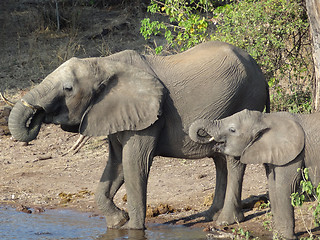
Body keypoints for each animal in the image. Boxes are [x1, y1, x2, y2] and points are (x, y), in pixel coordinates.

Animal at [8, 41, 268, 229]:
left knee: (233, 161)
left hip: (247, 99)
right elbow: (116, 164)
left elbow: (134, 164)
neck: (105, 63)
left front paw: (132, 228)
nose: (36, 115)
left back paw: (225, 221)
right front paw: (118, 222)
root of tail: (260, 70)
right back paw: (210, 215)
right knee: (219, 160)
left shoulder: (150, 117)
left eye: (68, 88)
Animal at [190, 109, 320, 239]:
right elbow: (273, 188)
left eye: (232, 130)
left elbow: (284, 187)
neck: (266, 118)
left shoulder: (294, 155)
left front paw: (285, 238)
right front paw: (277, 236)